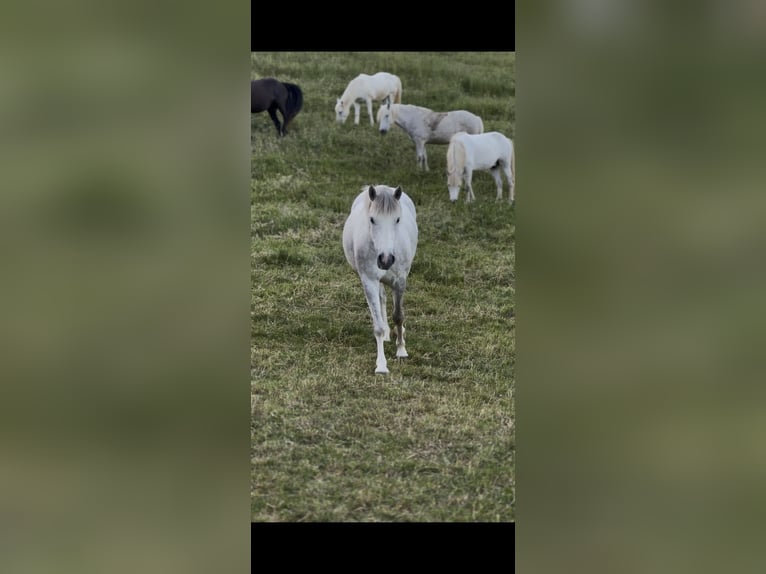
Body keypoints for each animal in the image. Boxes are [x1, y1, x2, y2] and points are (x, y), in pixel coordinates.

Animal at [343, 184, 418, 374]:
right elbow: (377, 326)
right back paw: (386, 333)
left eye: (397, 219)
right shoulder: (369, 281)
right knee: (382, 298)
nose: (385, 259)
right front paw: (381, 365)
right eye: (372, 219)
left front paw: (401, 350)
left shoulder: (400, 281)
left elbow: (398, 316)